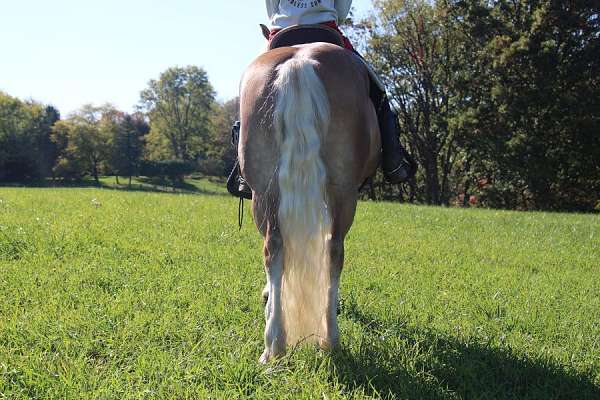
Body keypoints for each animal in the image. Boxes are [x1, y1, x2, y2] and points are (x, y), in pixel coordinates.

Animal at [238, 38, 380, 362]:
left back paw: (274, 344)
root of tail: (298, 62)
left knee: (274, 249)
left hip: (264, 192)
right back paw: (329, 338)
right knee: (333, 251)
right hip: (343, 194)